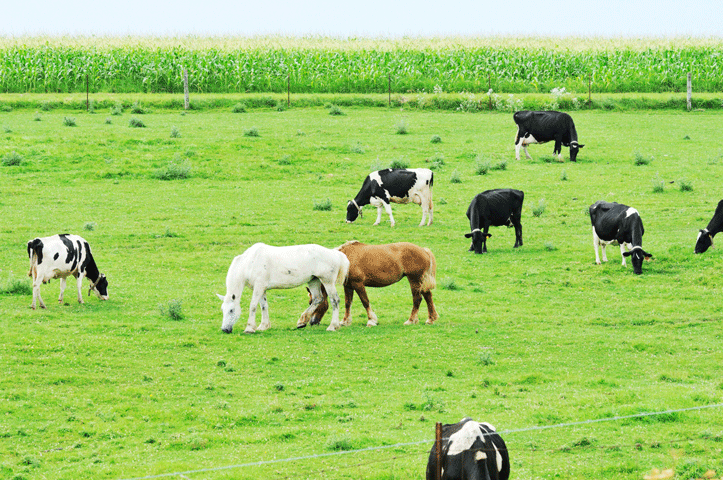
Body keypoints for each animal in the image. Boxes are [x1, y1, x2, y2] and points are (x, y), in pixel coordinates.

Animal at [216, 243, 350, 334]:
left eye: (231, 310)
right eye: (223, 309)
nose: (224, 329)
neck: (250, 262)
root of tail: (336, 254)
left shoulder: (258, 287)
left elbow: (253, 306)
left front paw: (250, 328)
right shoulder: (261, 288)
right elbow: (264, 306)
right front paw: (264, 326)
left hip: (327, 282)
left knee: (335, 300)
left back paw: (333, 326)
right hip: (313, 281)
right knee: (318, 299)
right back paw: (302, 321)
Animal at [304, 241, 439, 327]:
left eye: (312, 303)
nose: (312, 322)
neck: (345, 259)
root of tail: (424, 250)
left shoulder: (358, 284)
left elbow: (365, 301)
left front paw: (371, 321)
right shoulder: (348, 286)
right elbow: (348, 303)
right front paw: (345, 321)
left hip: (414, 280)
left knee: (417, 299)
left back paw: (411, 320)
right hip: (420, 281)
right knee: (428, 296)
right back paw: (431, 319)